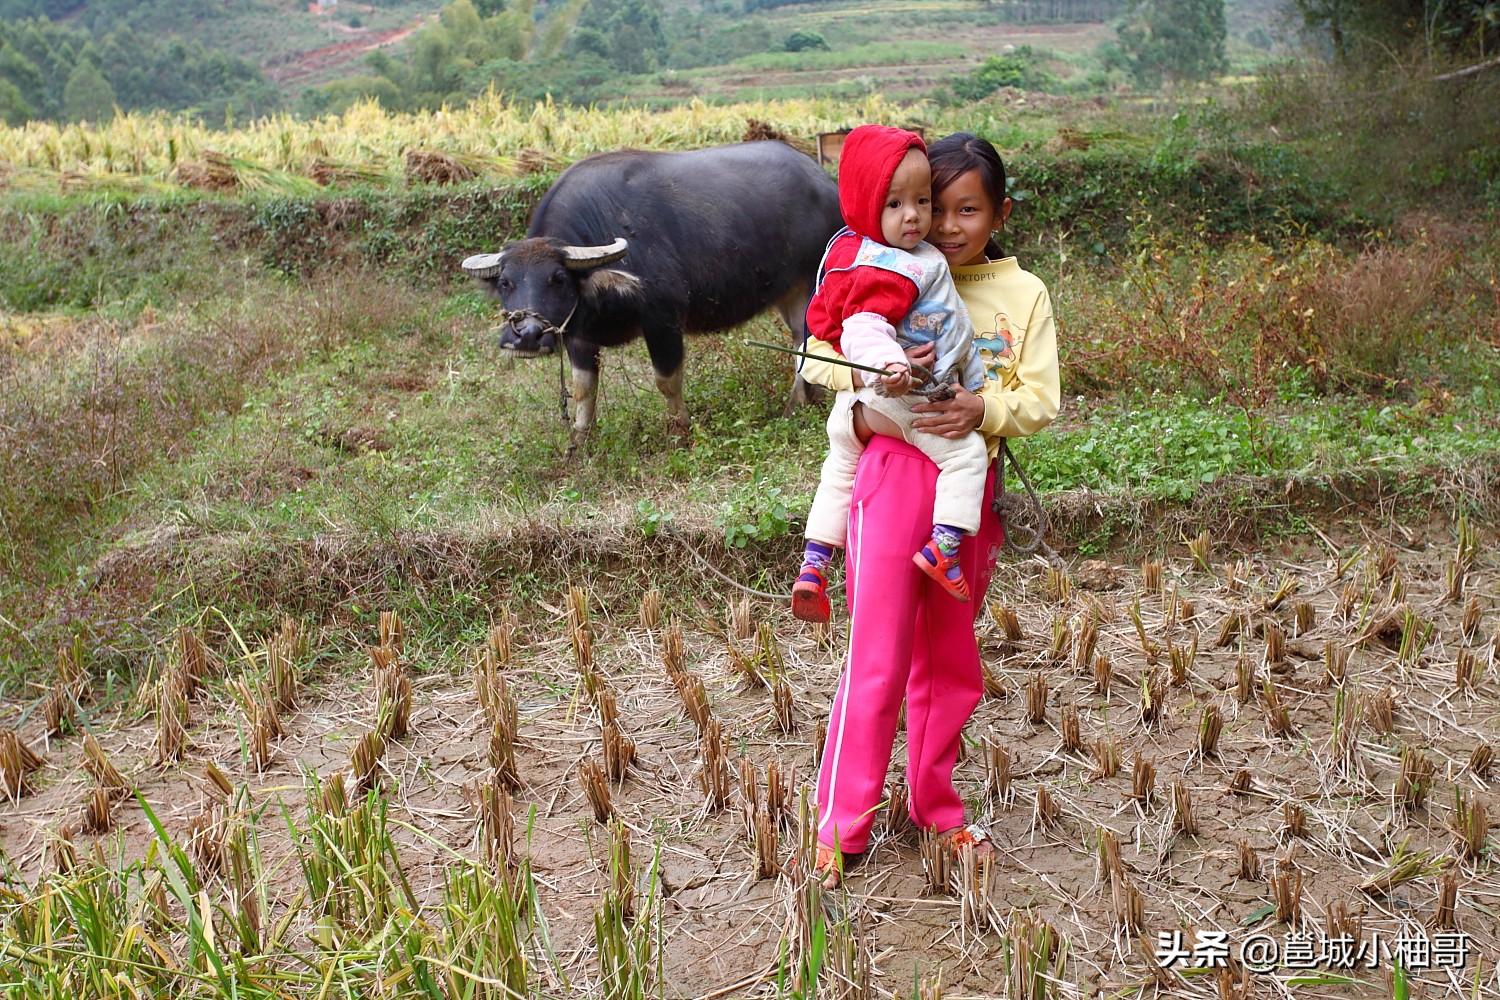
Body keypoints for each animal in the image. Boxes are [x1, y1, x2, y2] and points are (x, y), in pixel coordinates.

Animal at [456, 138, 846, 452]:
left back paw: (794, 407)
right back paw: (807, 400)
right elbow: (584, 389)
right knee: (801, 340)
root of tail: (823, 183)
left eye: (558, 279)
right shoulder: (578, 334)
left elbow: (666, 381)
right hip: (788, 291)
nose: (526, 336)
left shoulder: (663, 320)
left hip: (812, 283)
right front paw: (579, 443)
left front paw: (679, 433)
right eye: (506, 283)